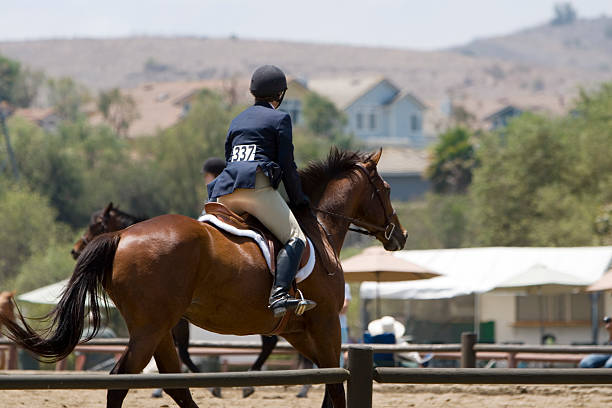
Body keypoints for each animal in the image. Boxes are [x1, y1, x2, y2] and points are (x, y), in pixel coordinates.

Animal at [70, 202, 310, 396]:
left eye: (97, 224)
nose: (75, 250)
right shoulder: (170, 323)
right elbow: (182, 352)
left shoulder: (173, 322)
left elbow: (184, 353)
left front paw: (212, 387)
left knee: (270, 342)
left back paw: (258, 383)